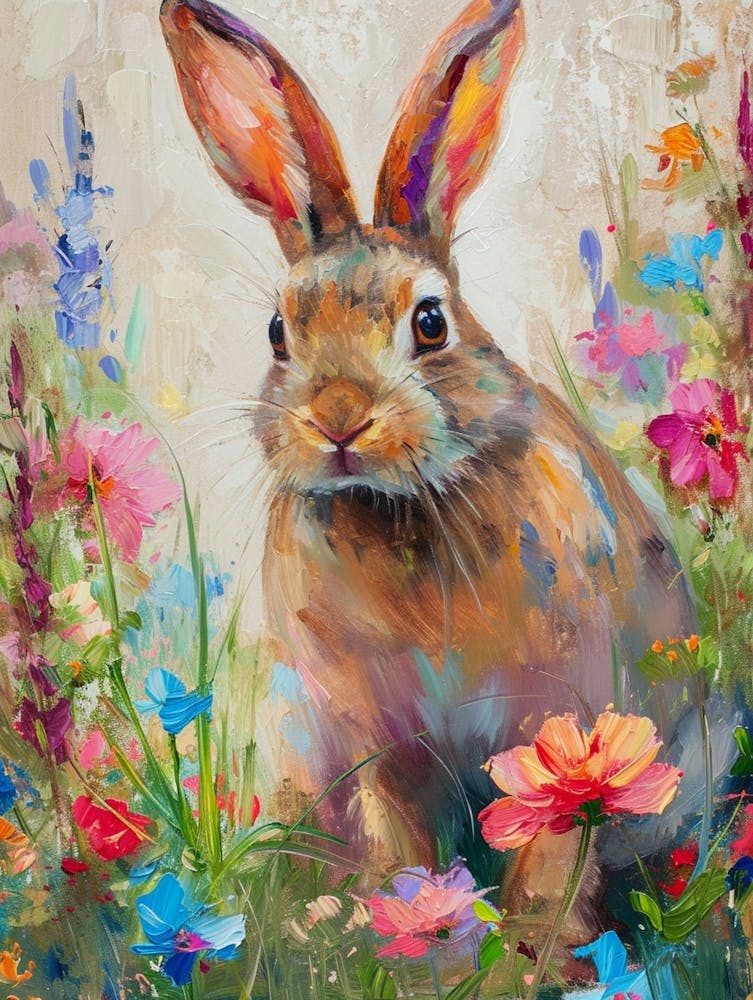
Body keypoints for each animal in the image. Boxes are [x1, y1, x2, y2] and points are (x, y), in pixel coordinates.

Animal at [161, 0, 709, 915]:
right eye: (277, 333)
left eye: (429, 323)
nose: (338, 420)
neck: (399, 504)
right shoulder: (381, 744)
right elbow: (398, 833)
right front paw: (400, 915)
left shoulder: (560, 720)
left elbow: (552, 847)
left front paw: (530, 940)